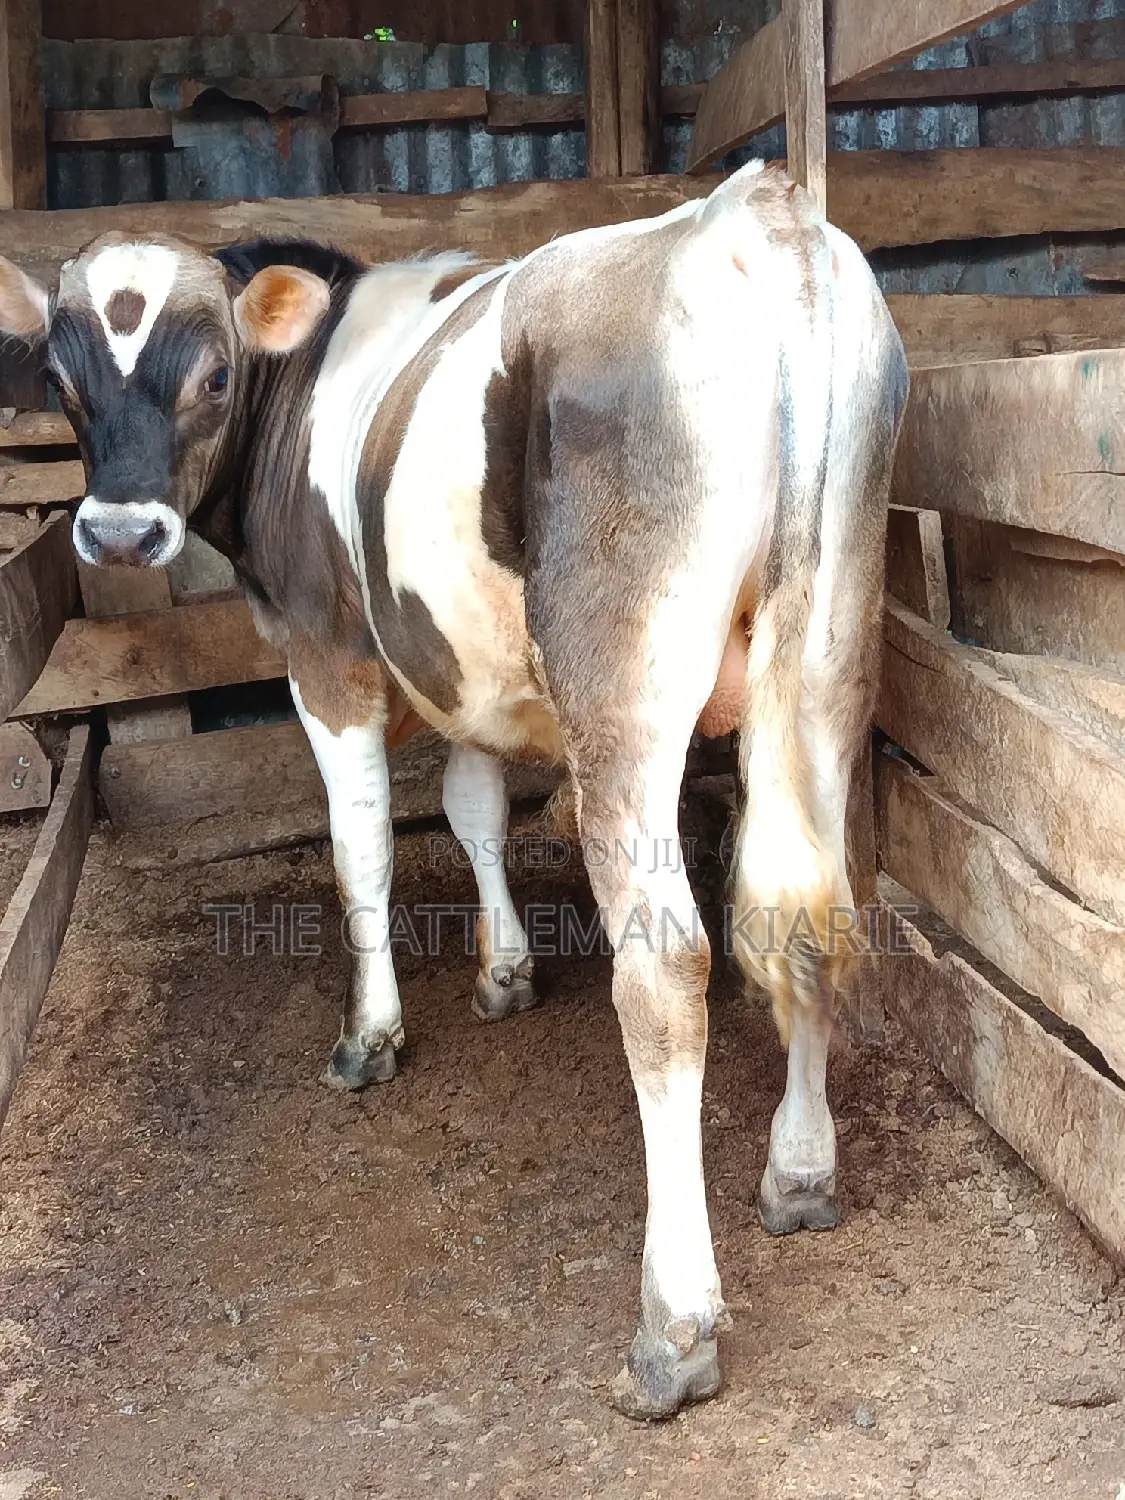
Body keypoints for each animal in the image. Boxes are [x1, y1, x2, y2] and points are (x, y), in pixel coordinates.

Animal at [0, 160, 907, 1419]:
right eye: (61, 380)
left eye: (215, 373)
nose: (121, 532)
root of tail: (759, 213)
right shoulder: (458, 663)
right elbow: (476, 810)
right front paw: (505, 969)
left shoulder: (328, 651)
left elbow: (363, 847)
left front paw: (371, 1034)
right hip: (830, 655)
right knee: (813, 906)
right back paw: (803, 1172)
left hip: (625, 681)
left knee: (666, 967)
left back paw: (673, 1330)